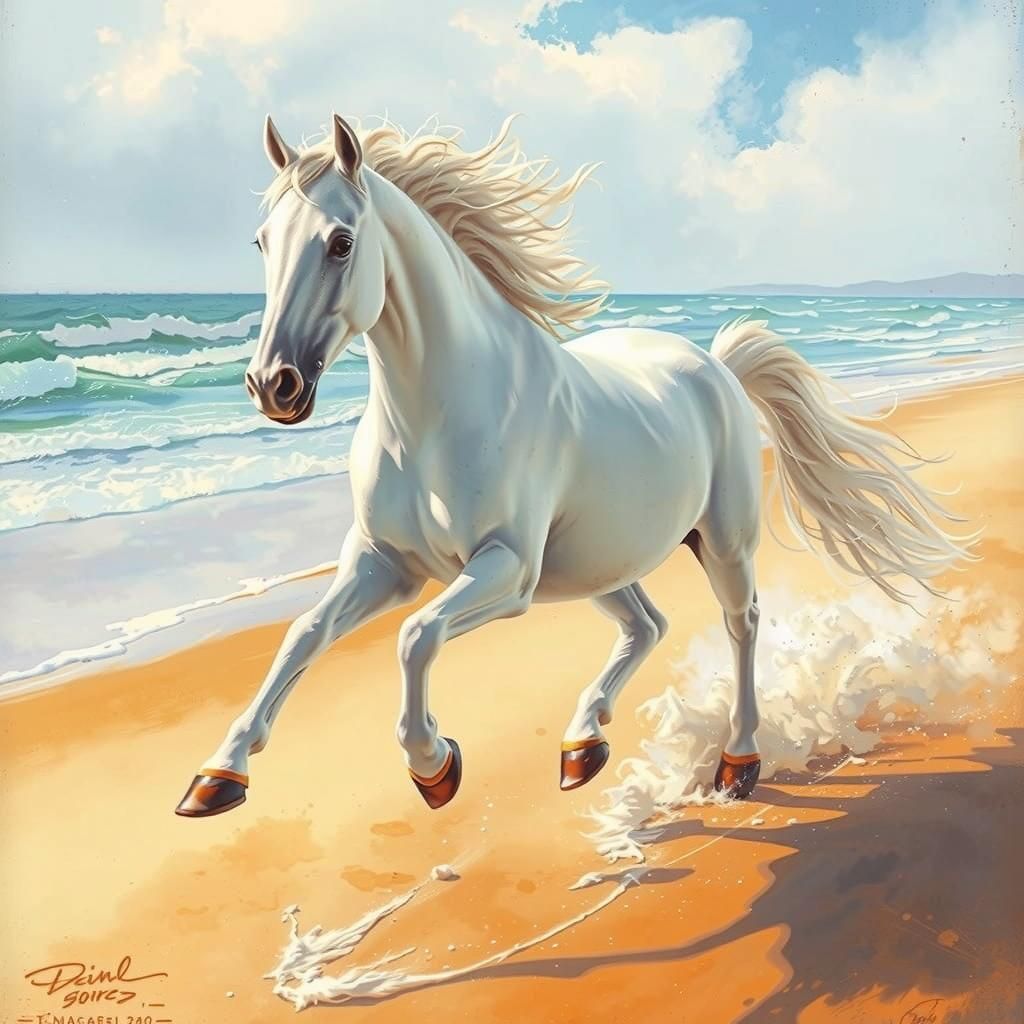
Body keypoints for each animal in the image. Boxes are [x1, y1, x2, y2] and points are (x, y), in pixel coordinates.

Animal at [175, 113, 969, 818]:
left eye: (340, 243)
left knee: (741, 622)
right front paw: (218, 775)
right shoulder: (383, 562)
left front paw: (434, 766)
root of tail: (715, 365)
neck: (436, 416)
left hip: (721, 541)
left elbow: (414, 638)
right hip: (598, 562)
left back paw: (736, 763)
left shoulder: (505, 569)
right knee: (647, 625)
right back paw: (582, 747)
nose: (272, 386)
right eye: (262, 241)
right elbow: (306, 633)